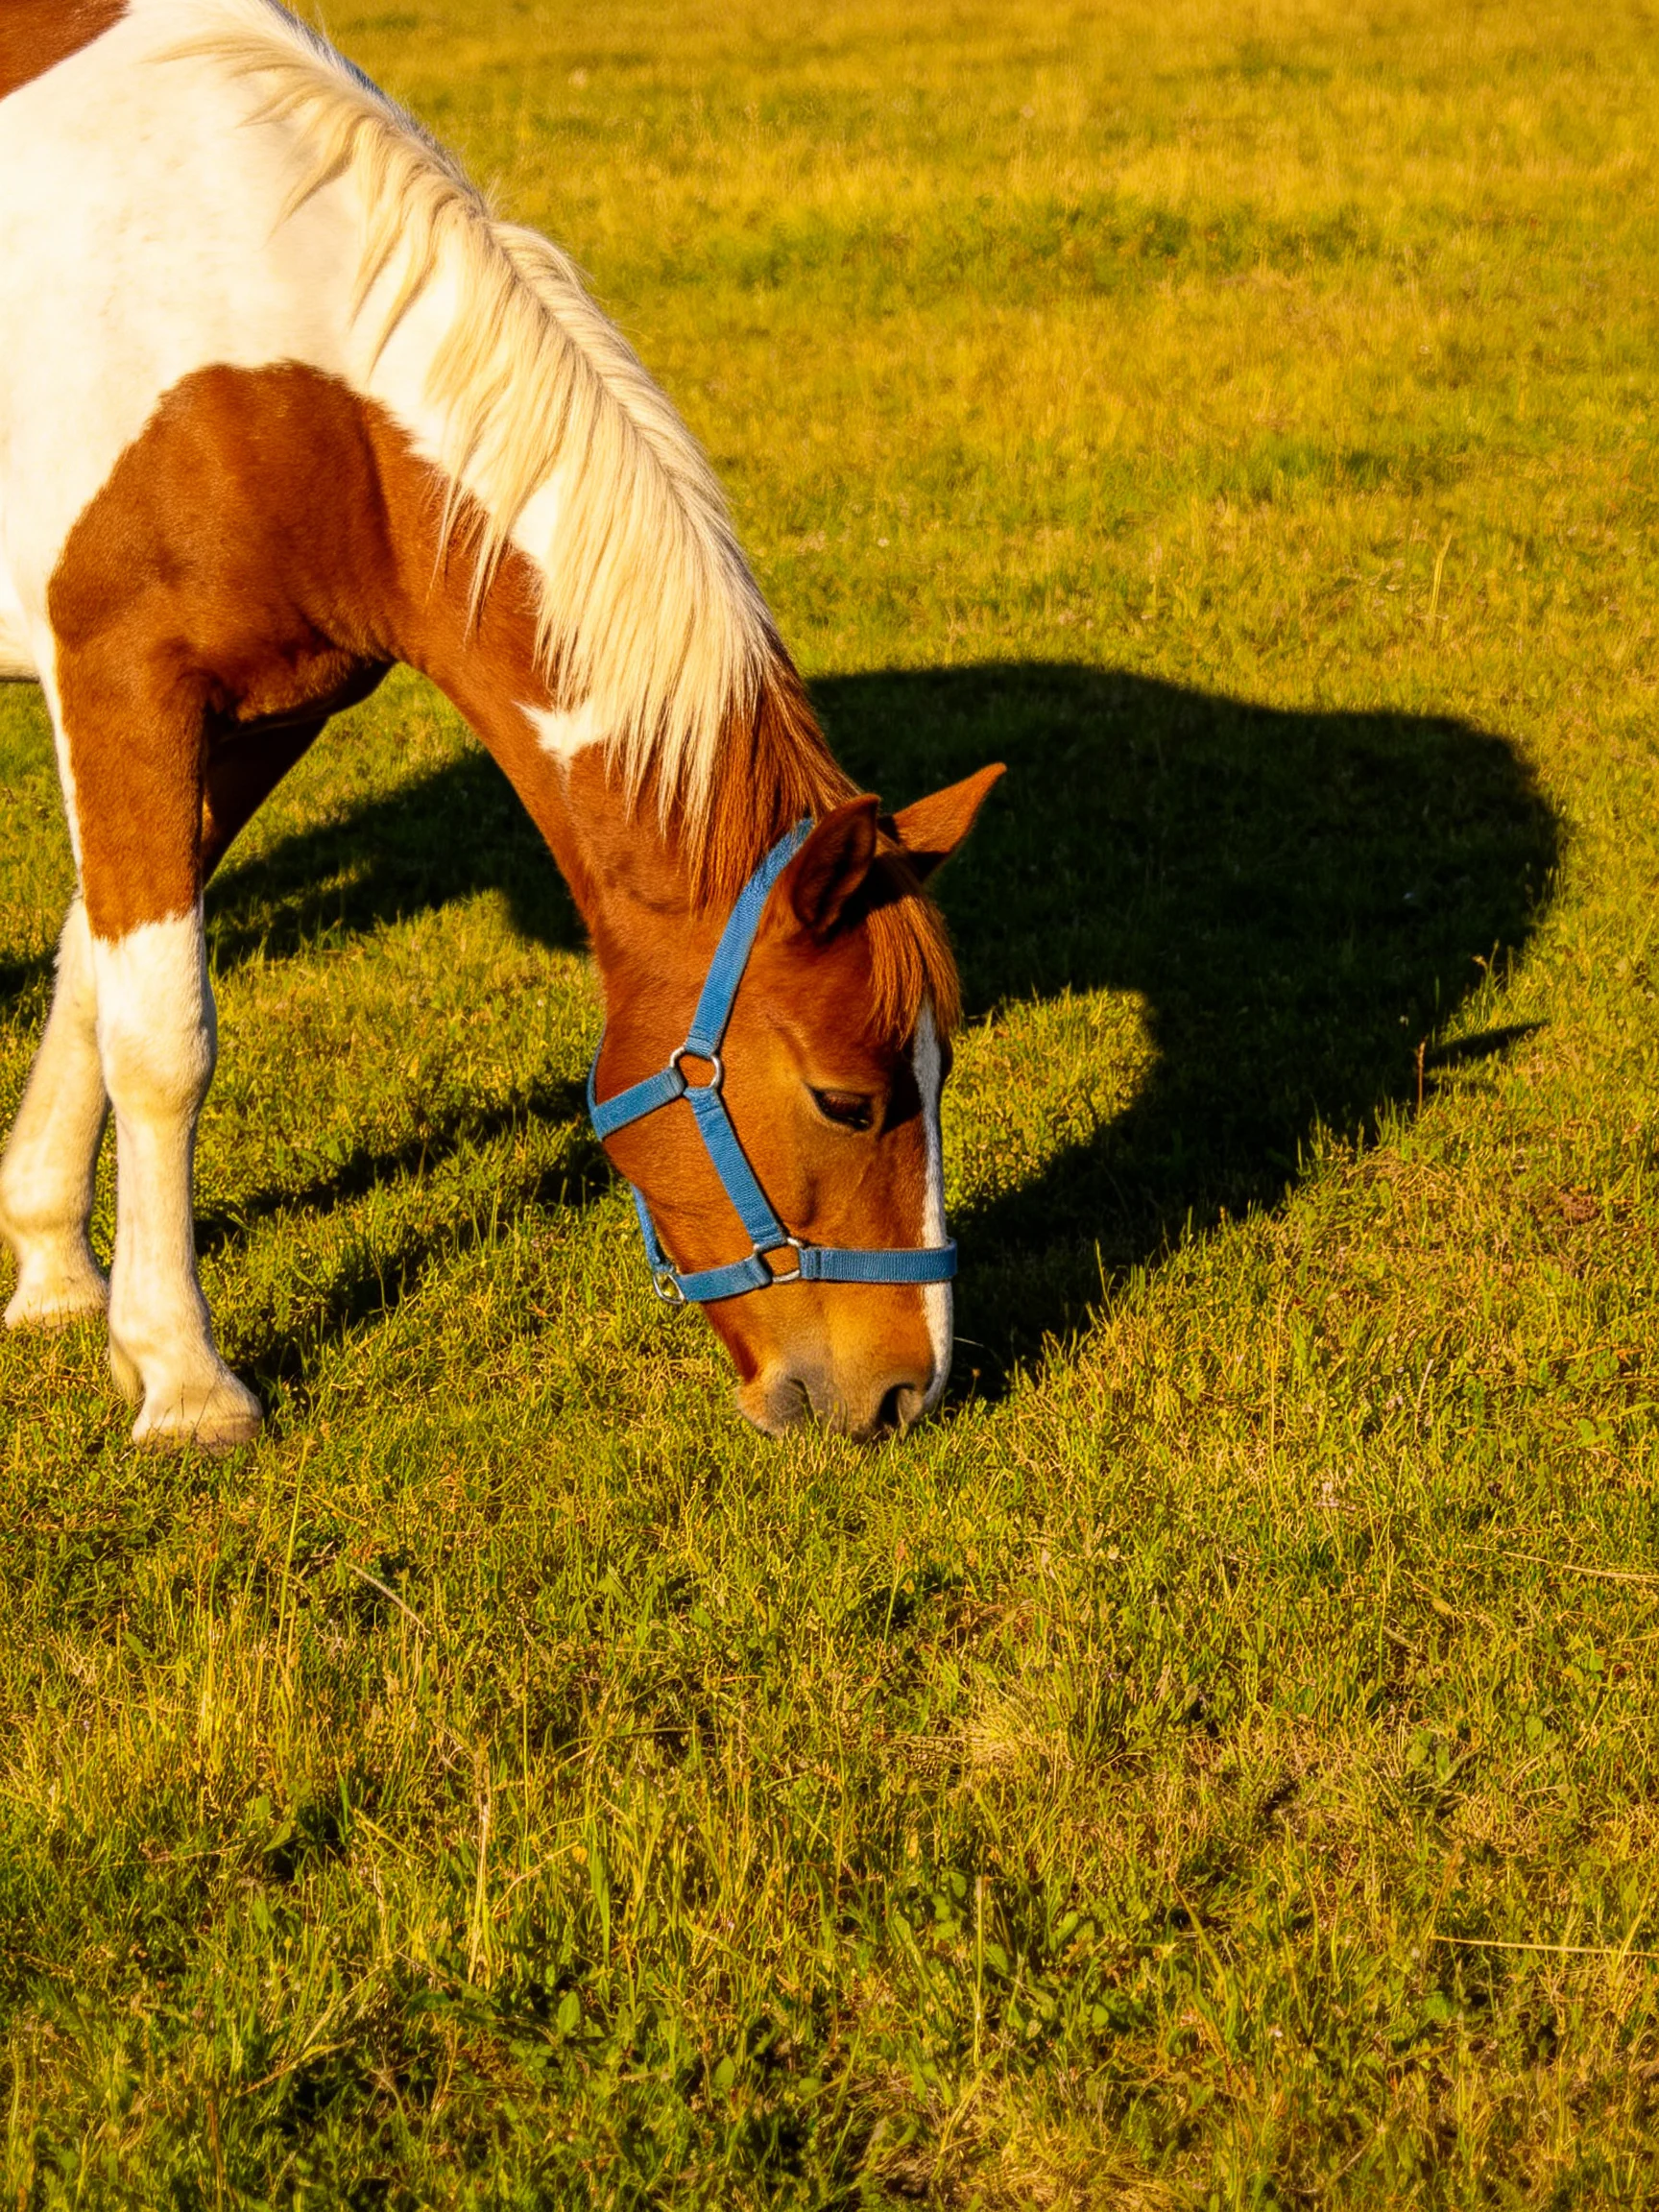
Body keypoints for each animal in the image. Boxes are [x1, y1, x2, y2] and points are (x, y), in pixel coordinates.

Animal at [0, 0, 1002, 1449]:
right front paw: (186, 1380)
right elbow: (165, 1037)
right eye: (848, 1100)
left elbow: (95, 969)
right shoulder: (122, 685)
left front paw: (53, 1270)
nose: (902, 1390)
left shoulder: (251, 720)